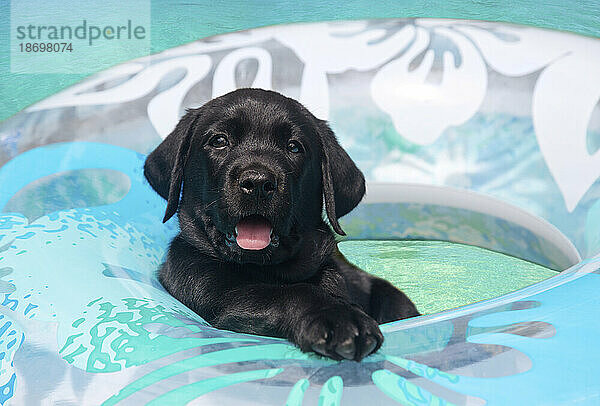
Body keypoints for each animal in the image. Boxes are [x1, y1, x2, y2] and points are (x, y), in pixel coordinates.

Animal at [144, 89, 418, 362]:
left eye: (294, 147)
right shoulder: (210, 291)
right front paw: (339, 318)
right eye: (219, 141)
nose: (257, 182)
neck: (269, 269)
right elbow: (290, 292)